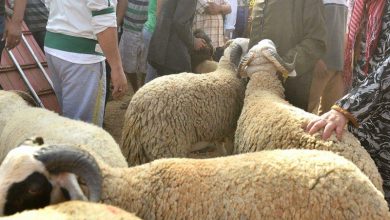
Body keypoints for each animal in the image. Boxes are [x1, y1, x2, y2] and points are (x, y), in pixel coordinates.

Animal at [121, 37, 250, 165]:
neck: (227, 70)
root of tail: (136, 111)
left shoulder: (219, 127)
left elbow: (220, 147)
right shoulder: (231, 130)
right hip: (167, 146)